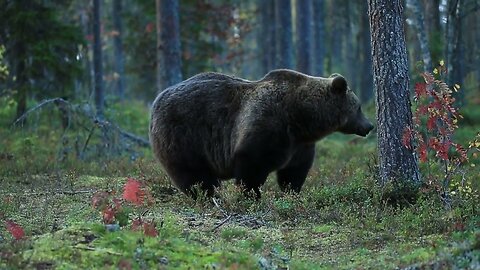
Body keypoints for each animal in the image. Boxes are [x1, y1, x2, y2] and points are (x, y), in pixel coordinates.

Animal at [148, 68, 374, 197]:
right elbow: (252, 166)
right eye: (359, 107)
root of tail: (156, 100)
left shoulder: (299, 145)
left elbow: (294, 171)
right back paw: (208, 196)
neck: (301, 117)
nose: (370, 125)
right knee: (194, 175)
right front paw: (250, 195)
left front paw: (292, 193)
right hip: (184, 136)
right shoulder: (267, 126)